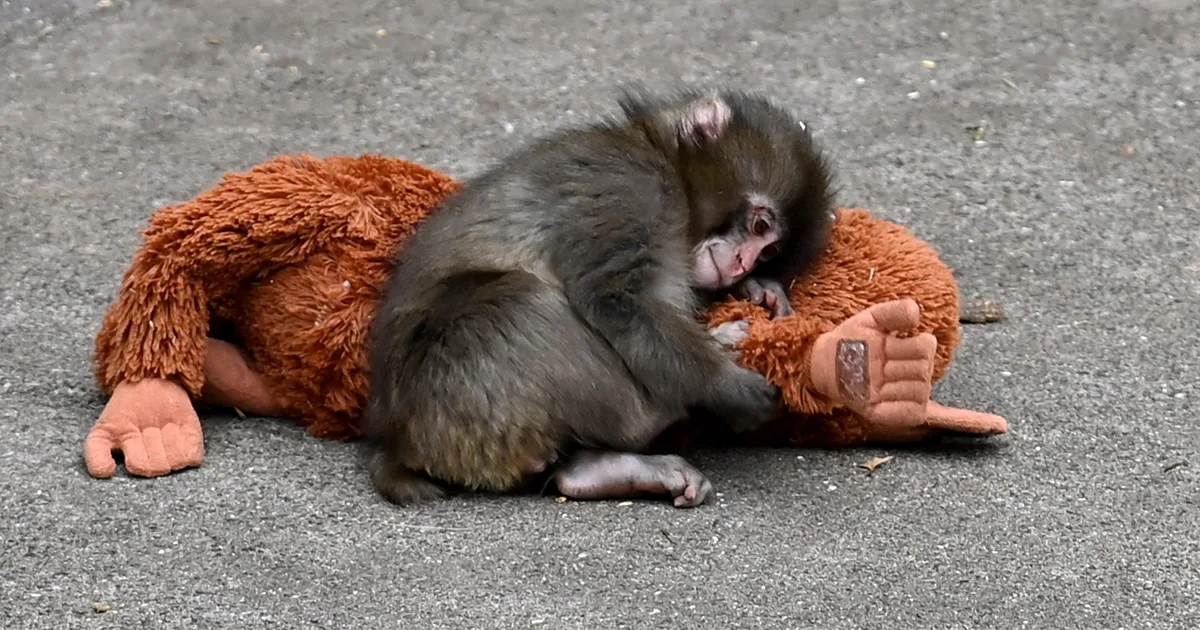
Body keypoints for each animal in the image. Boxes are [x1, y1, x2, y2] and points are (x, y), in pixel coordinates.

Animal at [365, 87, 835, 508]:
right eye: (759, 227)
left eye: (769, 252)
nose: (742, 264)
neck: (666, 164)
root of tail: (397, 443)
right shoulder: (631, 190)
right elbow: (618, 300)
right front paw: (724, 385)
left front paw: (758, 290)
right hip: (453, 395)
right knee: (522, 302)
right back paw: (663, 409)